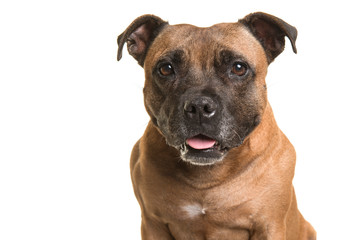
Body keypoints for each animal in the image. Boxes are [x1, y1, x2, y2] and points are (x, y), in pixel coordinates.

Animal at [117, 11, 316, 240]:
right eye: (166, 69)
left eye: (238, 68)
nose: (199, 106)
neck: (207, 177)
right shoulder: (153, 224)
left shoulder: (269, 226)